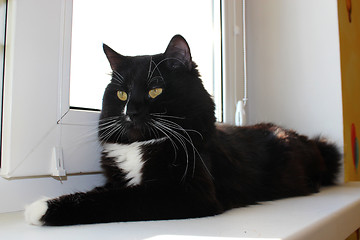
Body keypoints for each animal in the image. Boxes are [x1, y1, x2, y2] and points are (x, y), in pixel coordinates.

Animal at [24, 34, 340, 226]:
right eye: (122, 95)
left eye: (155, 90)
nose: (131, 112)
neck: (144, 144)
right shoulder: (118, 180)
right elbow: (104, 191)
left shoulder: (188, 192)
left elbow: (117, 199)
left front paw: (40, 208)